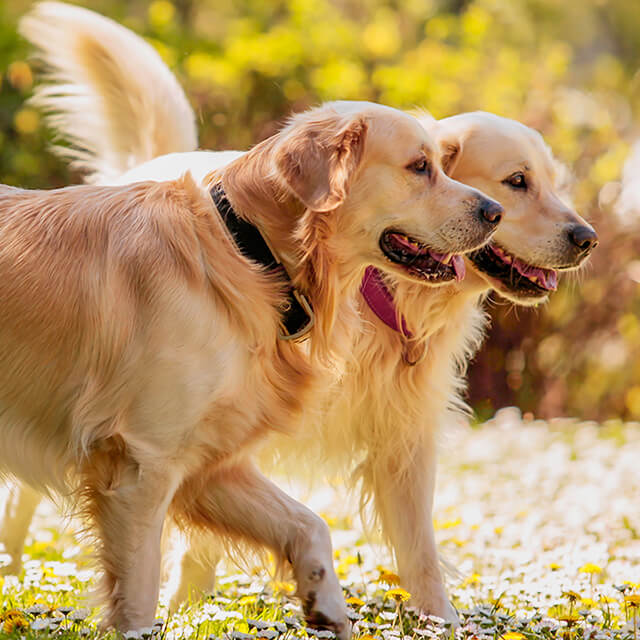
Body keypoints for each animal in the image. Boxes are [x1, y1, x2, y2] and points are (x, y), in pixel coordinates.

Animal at [3, 1, 596, 624]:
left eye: (553, 182)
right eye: (517, 181)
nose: (588, 239)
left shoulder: (399, 441)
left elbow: (416, 553)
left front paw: (440, 623)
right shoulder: (155, 456)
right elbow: (167, 561)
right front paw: (184, 610)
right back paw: (18, 579)